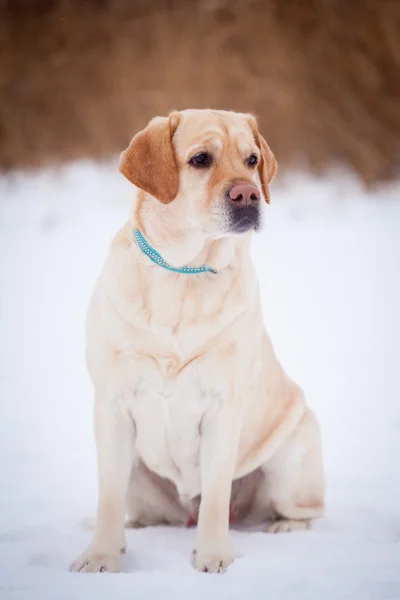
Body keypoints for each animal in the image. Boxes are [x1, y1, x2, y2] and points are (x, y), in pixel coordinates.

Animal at [70, 110, 324, 576]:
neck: (183, 272)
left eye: (251, 159)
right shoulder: (112, 404)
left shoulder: (223, 408)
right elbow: (108, 498)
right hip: (139, 476)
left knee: (304, 510)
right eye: (201, 159)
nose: (248, 194)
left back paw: (282, 526)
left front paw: (213, 557)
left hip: (292, 455)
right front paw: (101, 556)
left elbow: (217, 497)